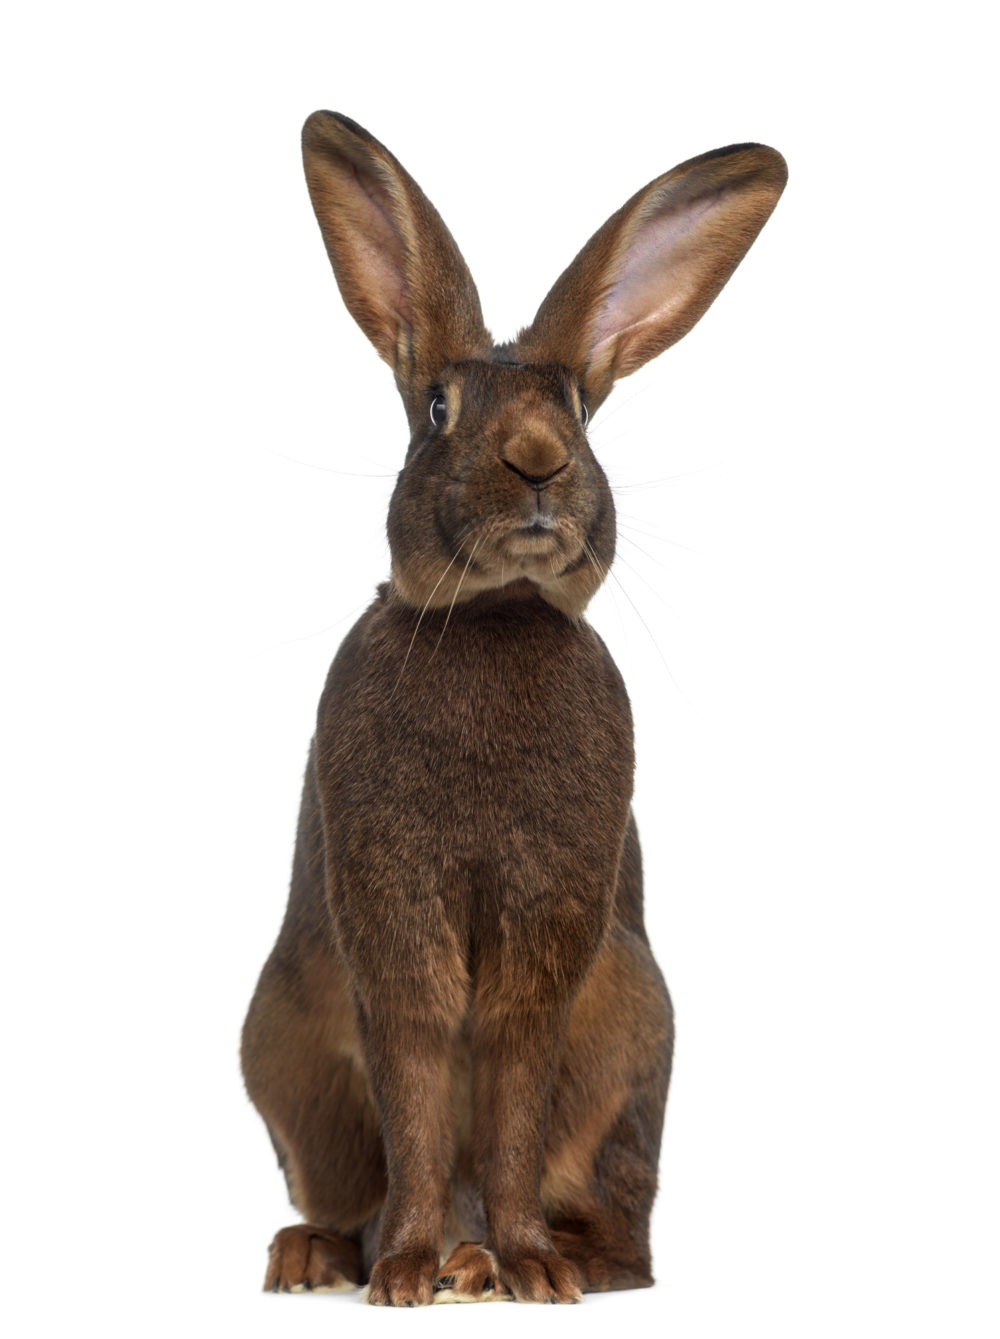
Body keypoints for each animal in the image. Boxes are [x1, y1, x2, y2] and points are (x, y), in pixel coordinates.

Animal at [241, 111, 786, 1307]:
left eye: (577, 408)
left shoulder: (551, 929)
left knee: (622, 1223)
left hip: (632, 1031)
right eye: (439, 410)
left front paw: (529, 1266)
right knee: (347, 1184)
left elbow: (514, 1075)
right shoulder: (392, 914)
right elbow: (415, 1070)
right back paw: (339, 1256)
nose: (535, 460)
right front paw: (404, 1273)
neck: (494, 615)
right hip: (281, 1050)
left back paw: (532, 1258)